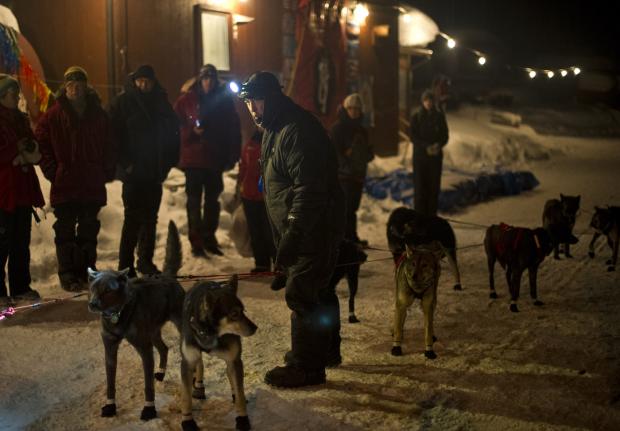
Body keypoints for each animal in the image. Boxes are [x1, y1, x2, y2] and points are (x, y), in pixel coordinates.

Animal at [88, 223, 184, 422]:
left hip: (178, 327)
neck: (118, 314)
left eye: (107, 290)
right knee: (164, 348)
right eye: (92, 288)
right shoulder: (110, 349)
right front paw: (110, 406)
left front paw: (149, 409)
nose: (92, 304)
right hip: (153, 332)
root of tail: (167, 276)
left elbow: (148, 386)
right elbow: (110, 383)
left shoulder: (144, 349)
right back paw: (161, 373)